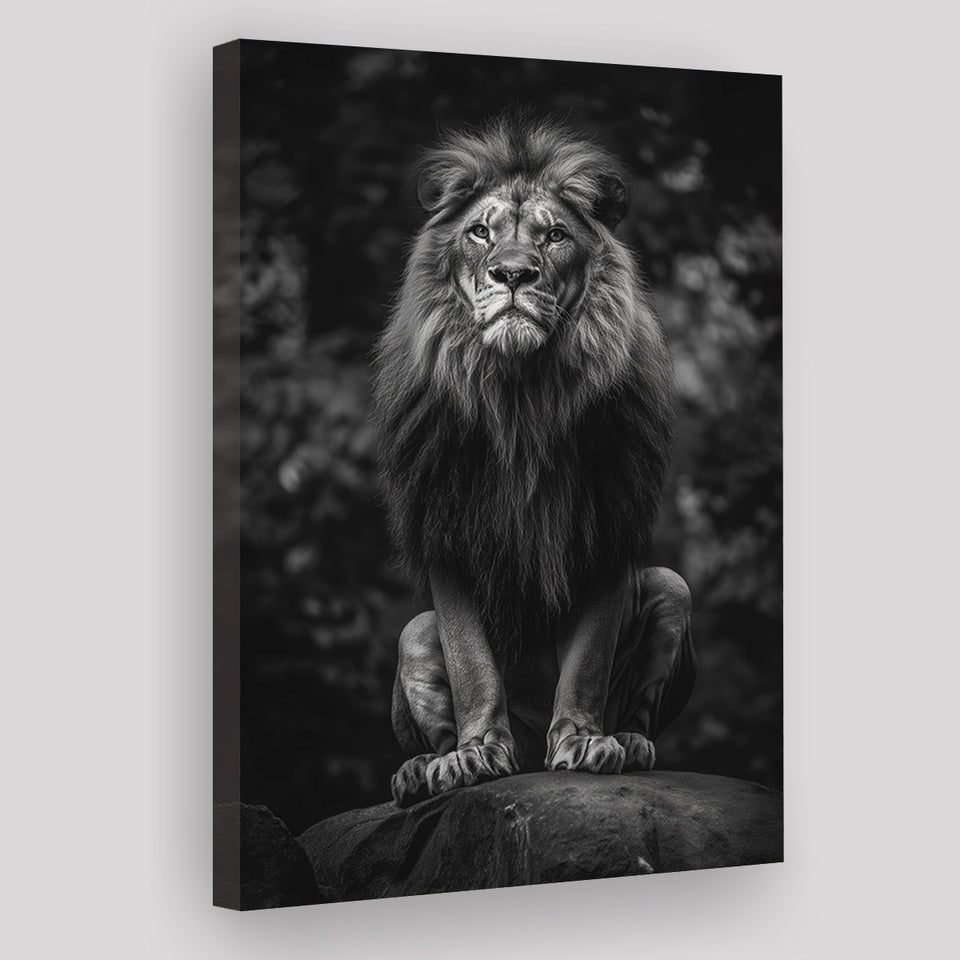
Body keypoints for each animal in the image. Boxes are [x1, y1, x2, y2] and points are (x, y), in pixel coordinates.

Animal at [372, 116, 696, 808]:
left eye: (555, 235)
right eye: (479, 231)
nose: (513, 274)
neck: (521, 394)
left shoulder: (609, 527)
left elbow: (588, 660)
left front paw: (583, 742)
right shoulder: (446, 529)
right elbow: (472, 665)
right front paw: (475, 755)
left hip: (670, 588)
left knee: (642, 706)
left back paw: (630, 745)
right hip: (415, 633)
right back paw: (423, 770)